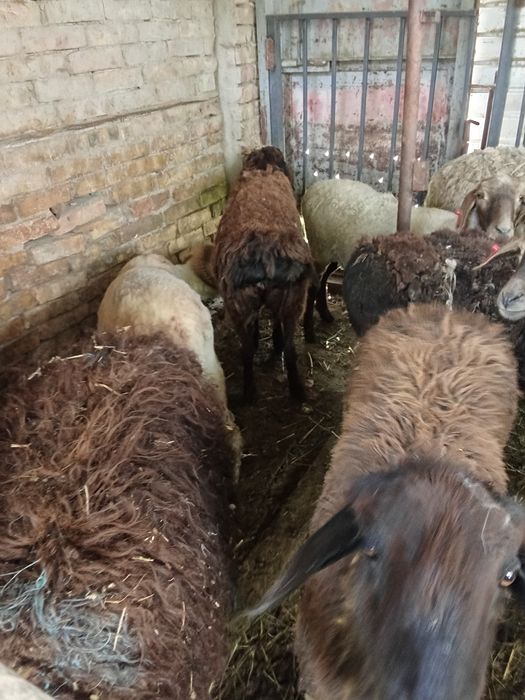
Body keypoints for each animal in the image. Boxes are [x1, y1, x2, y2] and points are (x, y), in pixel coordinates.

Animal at [213, 146, 316, 403]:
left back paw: (251, 393)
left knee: (248, 350)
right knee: (288, 348)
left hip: (240, 304)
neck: (263, 169)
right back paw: (295, 391)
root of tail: (264, 253)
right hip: (291, 301)